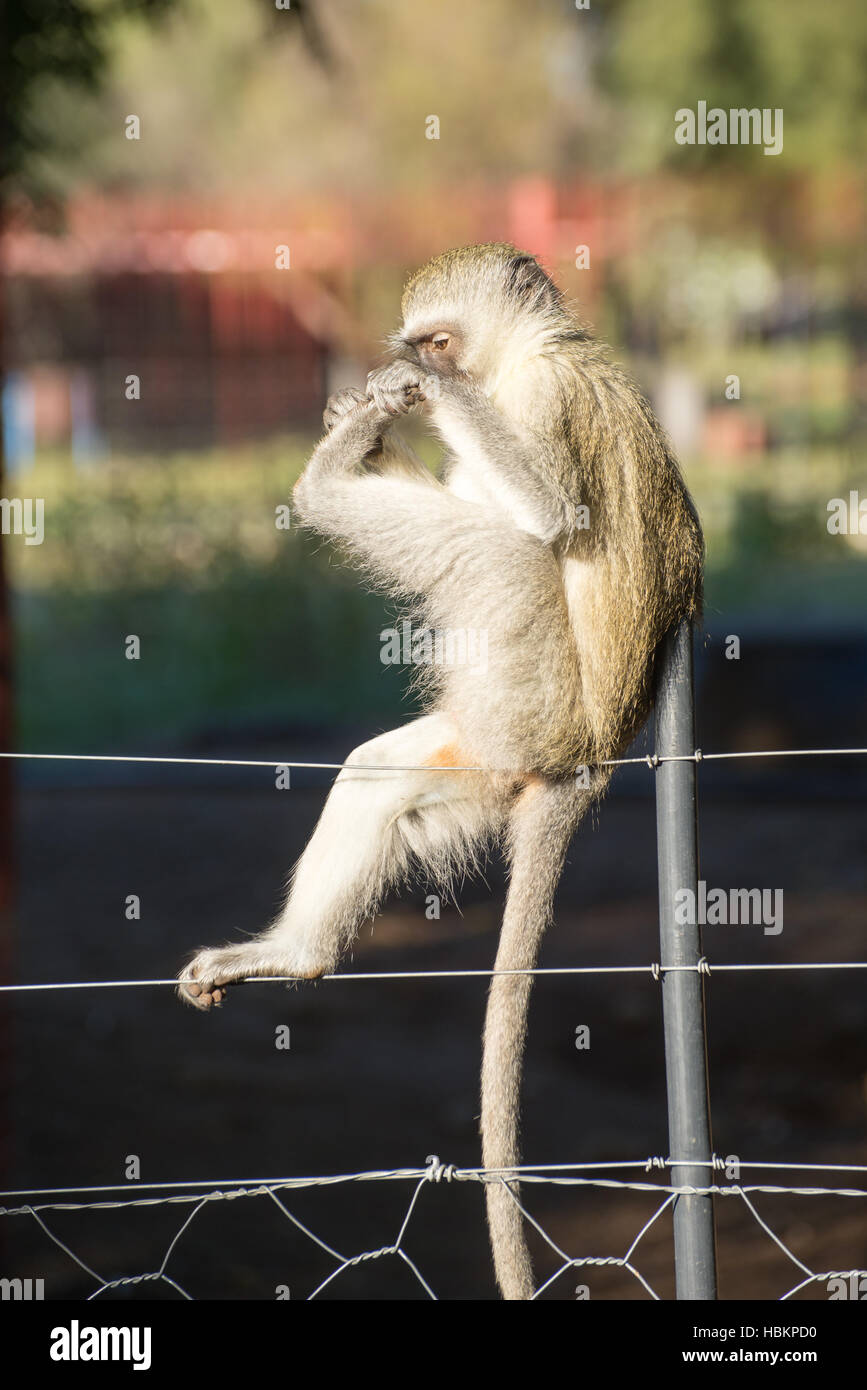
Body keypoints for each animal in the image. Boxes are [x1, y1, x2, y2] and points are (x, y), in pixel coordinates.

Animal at [177, 244, 703, 1300]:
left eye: (441, 341)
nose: (420, 365)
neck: (536, 349)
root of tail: (589, 756)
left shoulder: (542, 392)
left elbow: (547, 513)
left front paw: (407, 395)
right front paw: (366, 412)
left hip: (528, 685)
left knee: (505, 545)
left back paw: (327, 480)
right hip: (493, 739)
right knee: (378, 769)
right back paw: (295, 955)